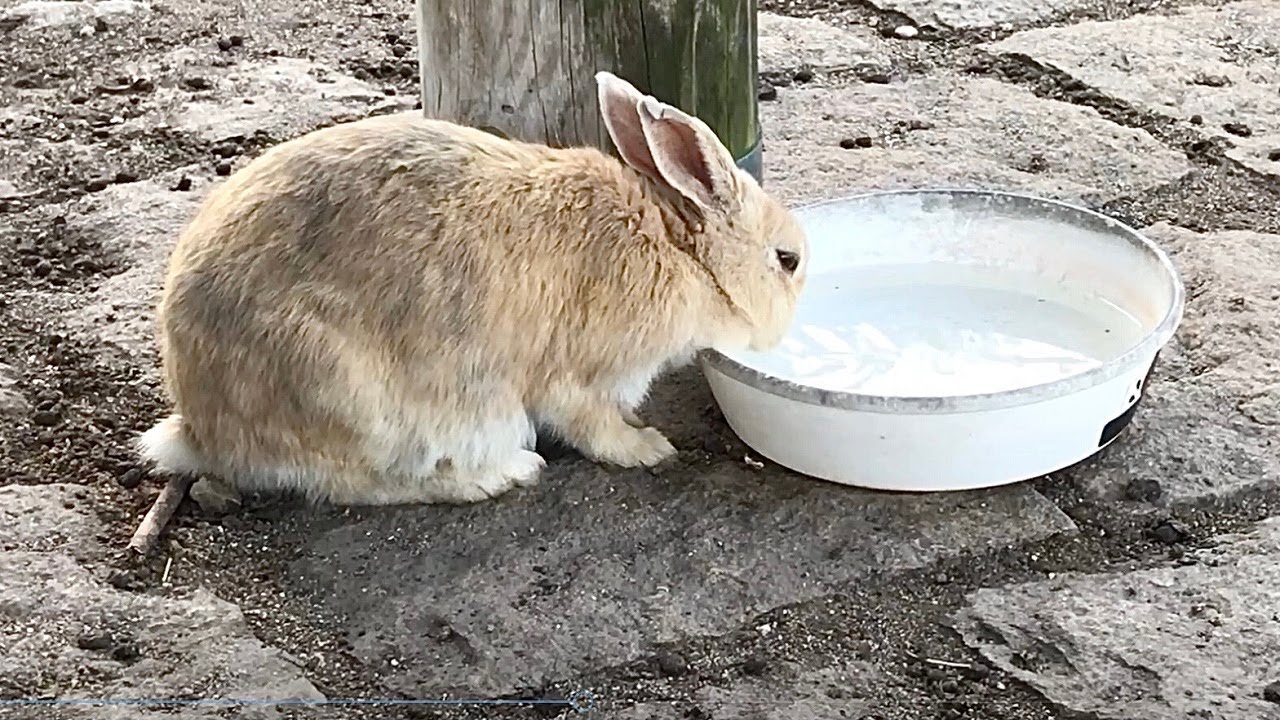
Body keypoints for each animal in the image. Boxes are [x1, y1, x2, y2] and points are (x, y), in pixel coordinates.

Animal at [135, 71, 809, 506]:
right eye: (788, 260)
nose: (785, 330)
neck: (678, 250)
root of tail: (200, 428)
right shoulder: (580, 379)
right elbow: (593, 426)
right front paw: (647, 448)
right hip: (358, 400)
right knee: (362, 484)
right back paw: (503, 474)